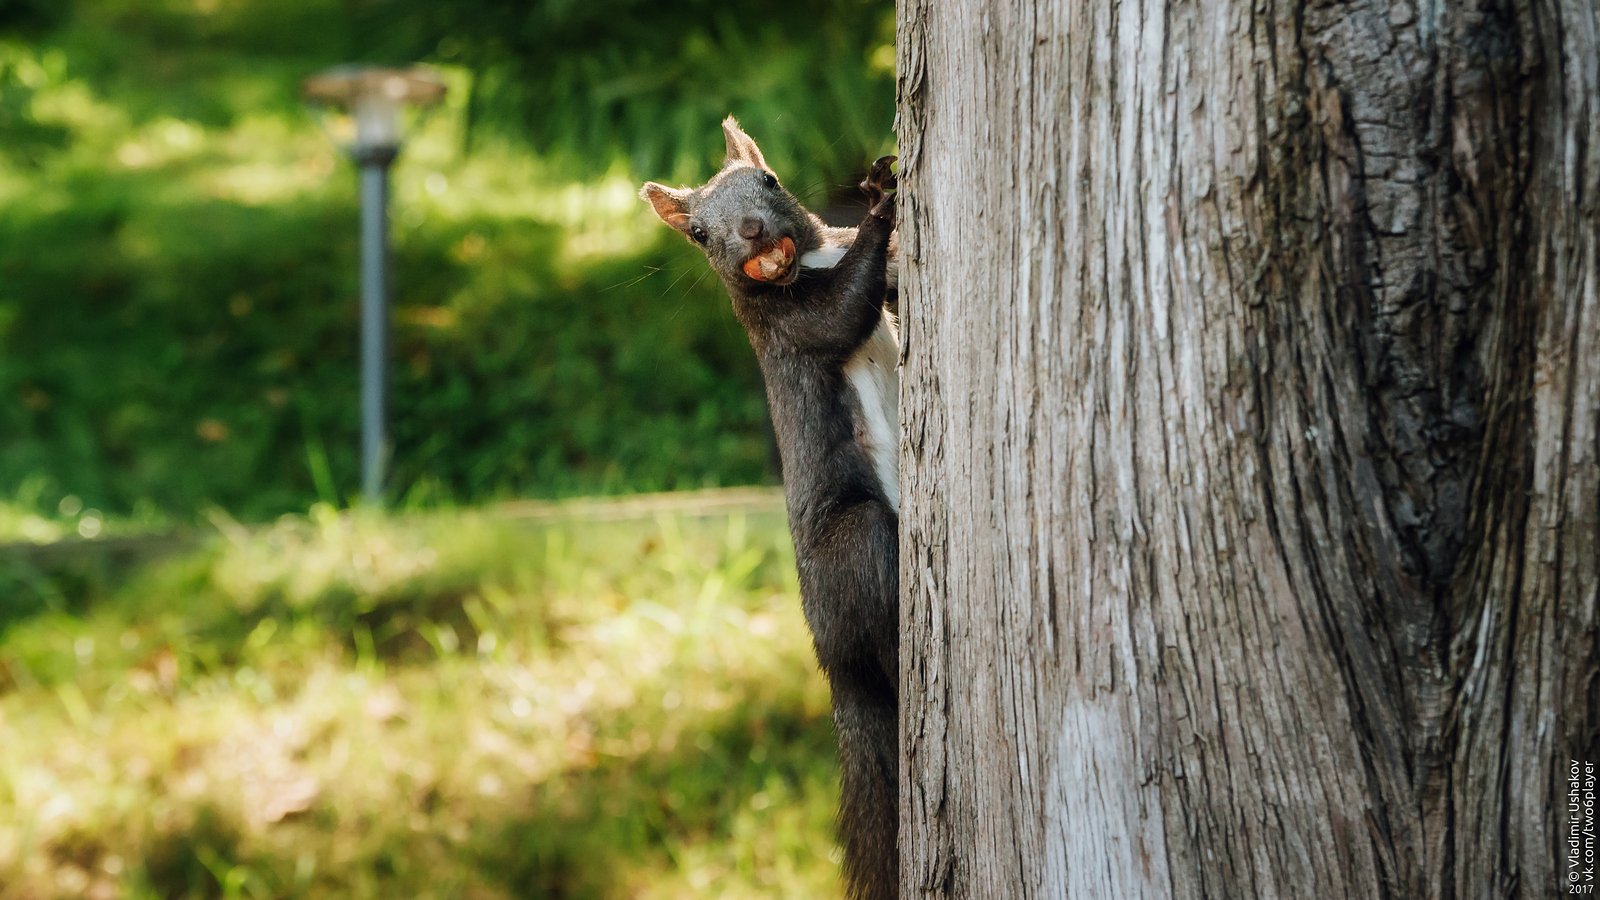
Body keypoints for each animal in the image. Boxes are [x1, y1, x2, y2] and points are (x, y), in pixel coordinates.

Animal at [643, 115, 908, 890]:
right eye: (699, 233)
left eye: (770, 180)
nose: (753, 232)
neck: (810, 262)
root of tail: (835, 667)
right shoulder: (792, 330)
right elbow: (843, 312)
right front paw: (882, 204)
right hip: (859, 544)